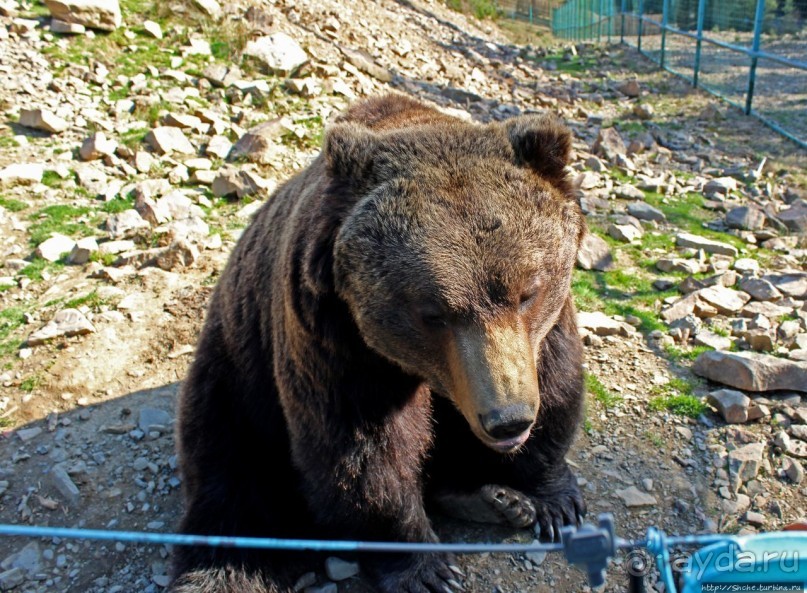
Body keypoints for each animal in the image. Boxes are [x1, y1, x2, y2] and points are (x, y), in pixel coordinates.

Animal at [170, 95, 588, 592]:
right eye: (433, 313)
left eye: (528, 292)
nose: (506, 420)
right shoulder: (337, 338)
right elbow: (362, 448)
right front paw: (426, 570)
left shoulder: (543, 332)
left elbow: (557, 388)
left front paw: (553, 500)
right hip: (238, 373)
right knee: (228, 471)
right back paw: (224, 566)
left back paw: (498, 500)